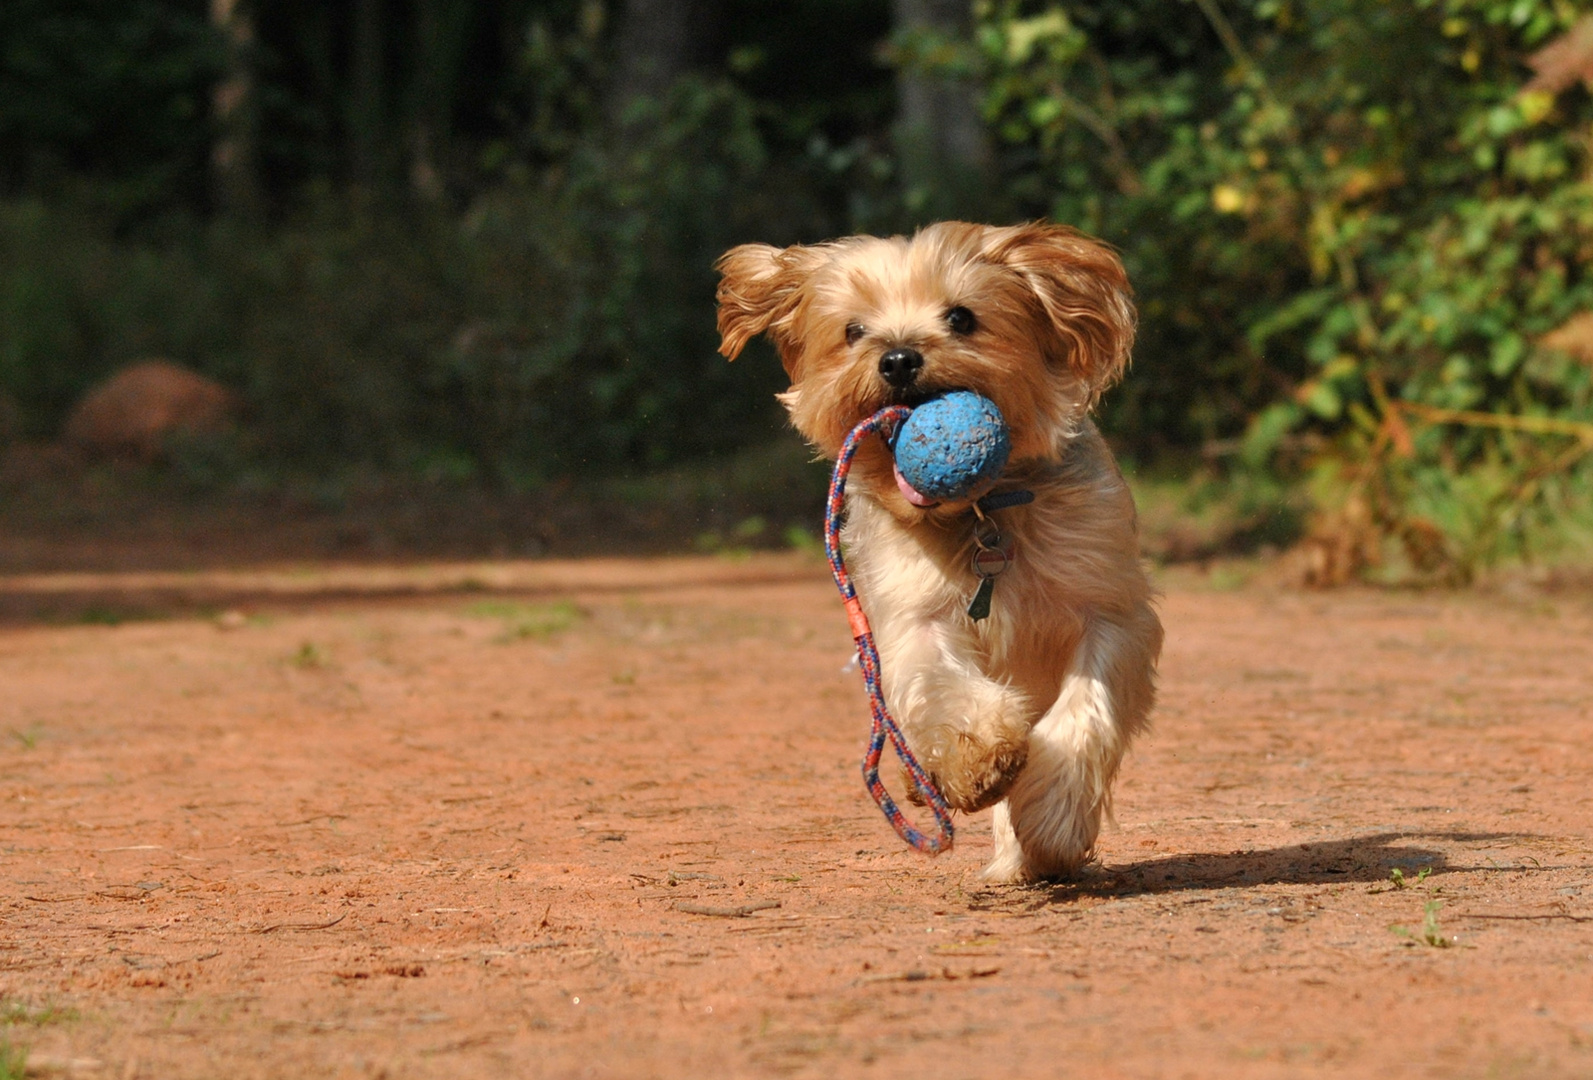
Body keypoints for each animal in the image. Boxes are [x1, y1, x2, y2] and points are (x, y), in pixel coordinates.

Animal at [716, 221, 1166, 885]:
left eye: (961, 317)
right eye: (853, 331)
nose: (899, 356)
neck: (980, 514)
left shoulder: (1107, 607)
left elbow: (1086, 711)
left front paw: (1053, 820)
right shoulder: (913, 611)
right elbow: (941, 682)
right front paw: (974, 758)